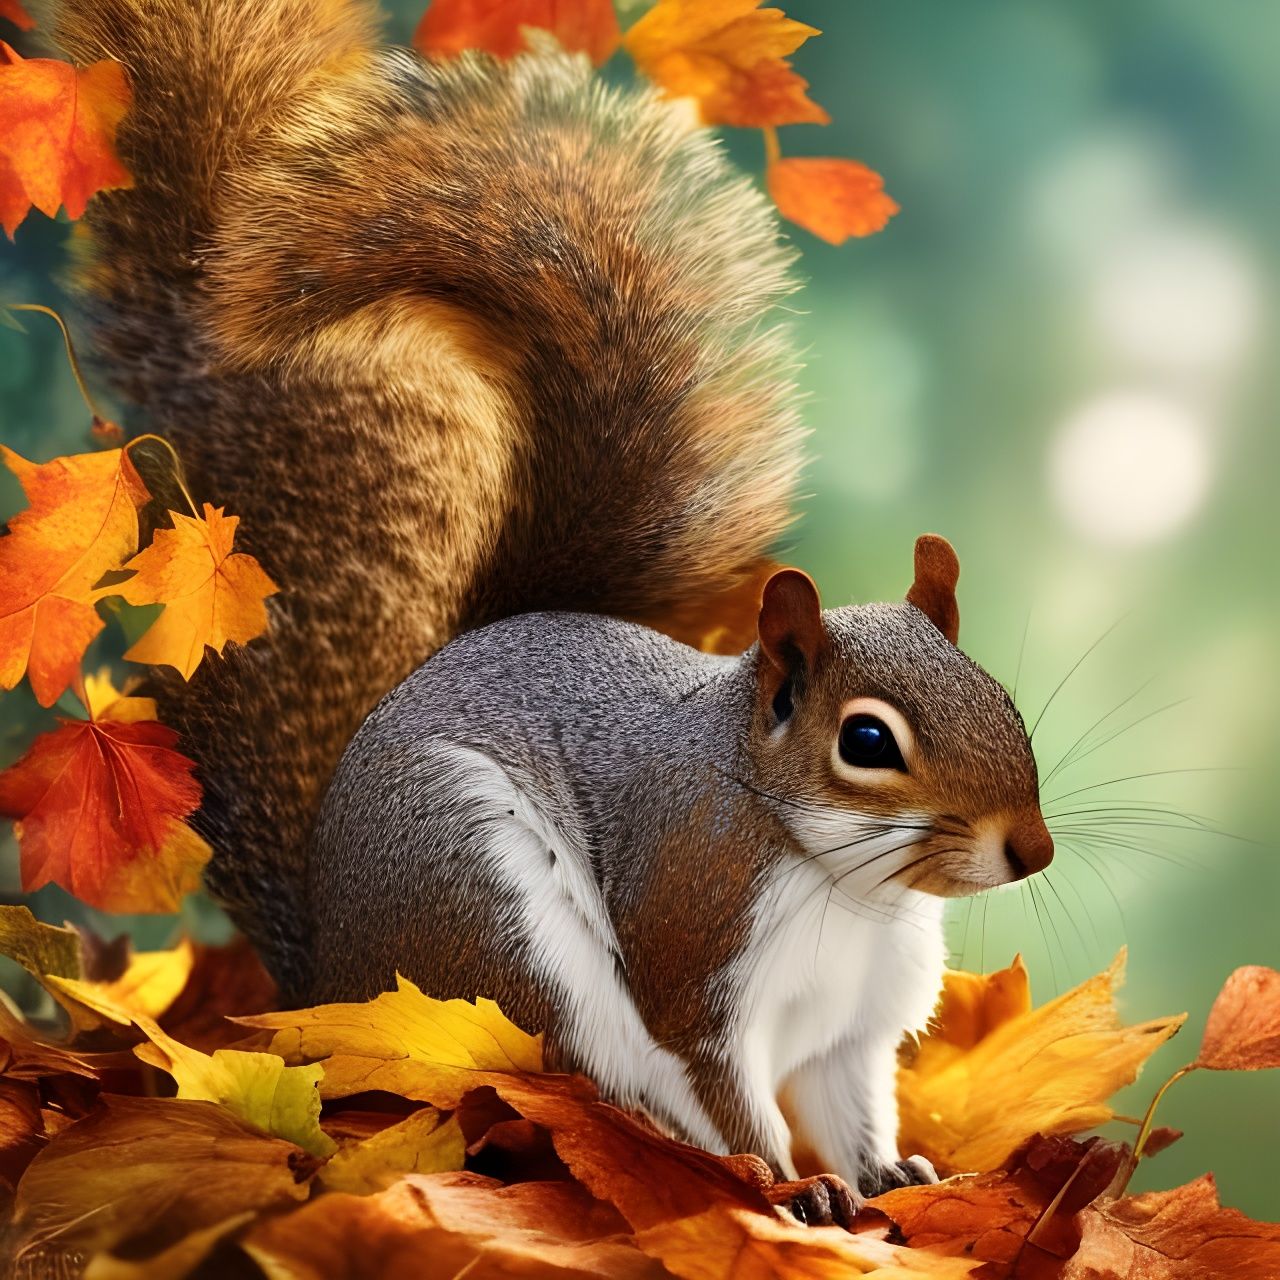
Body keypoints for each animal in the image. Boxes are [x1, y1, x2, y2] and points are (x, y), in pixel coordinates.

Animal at [51, 0, 1054, 1220]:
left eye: (1000, 696)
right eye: (867, 741)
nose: (1032, 848)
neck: (849, 886)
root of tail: (328, 985)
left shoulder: (850, 1028)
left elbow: (849, 1098)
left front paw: (885, 1173)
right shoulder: (695, 945)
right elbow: (725, 1089)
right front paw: (792, 1188)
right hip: (487, 914)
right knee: (575, 1080)